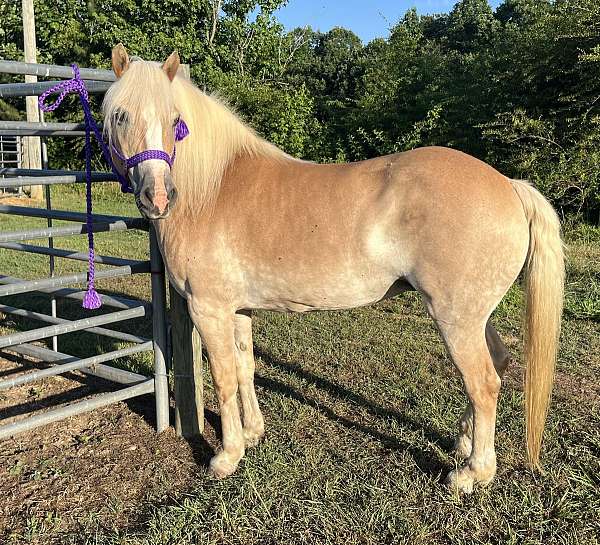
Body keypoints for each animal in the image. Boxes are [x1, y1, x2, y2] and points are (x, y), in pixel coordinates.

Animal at [101, 44, 564, 490]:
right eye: (121, 116)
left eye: (175, 119)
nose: (158, 197)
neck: (211, 190)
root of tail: (510, 186)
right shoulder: (238, 309)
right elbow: (246, 368)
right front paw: (253, 433)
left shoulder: (208, 308)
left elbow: (224, 378)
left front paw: (226, 456)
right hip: (475, 316)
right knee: (498, 364)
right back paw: (463, 443)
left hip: (456, 319)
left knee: (483, 383)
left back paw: (472, 473)